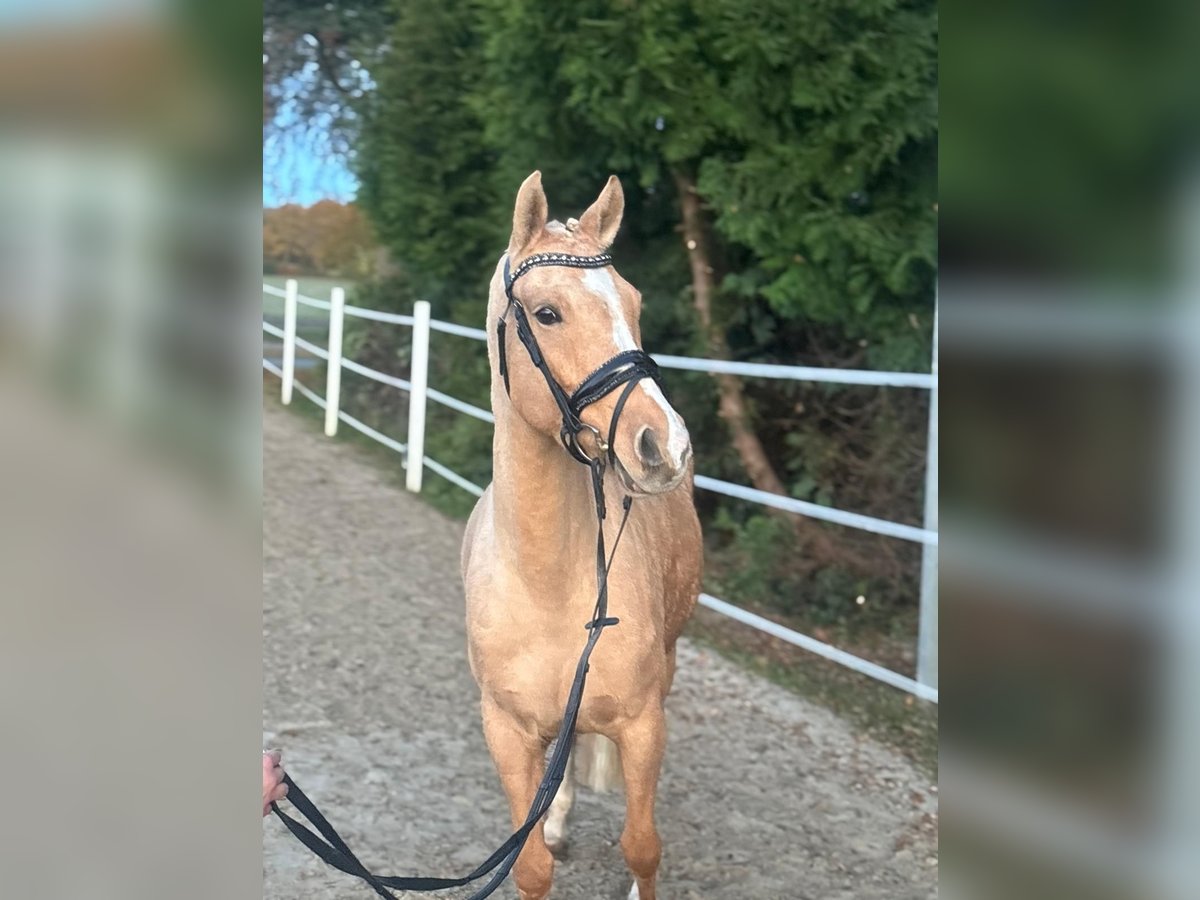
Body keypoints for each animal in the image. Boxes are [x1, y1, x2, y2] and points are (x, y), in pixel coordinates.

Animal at [461, 171, 703, 900]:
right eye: (547, 314)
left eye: (633, 301)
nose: (665, 445)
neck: (548, 581)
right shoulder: (508, 731)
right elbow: (531, 861)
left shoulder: (644, 725)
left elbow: (643, 846)